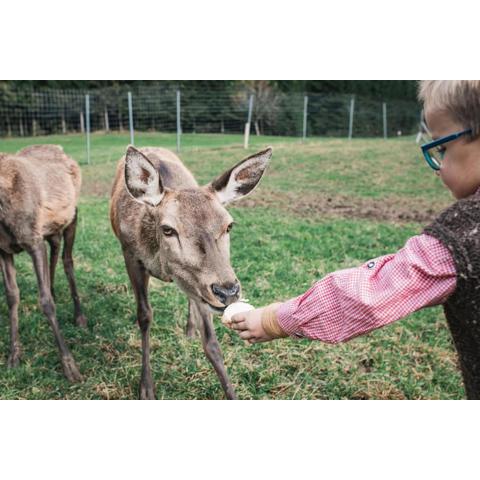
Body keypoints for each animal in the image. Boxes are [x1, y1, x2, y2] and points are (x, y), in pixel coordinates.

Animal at [0, 145, 85, 382]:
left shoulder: (33, 240)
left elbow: (45, 301)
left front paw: (70, 366)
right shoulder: (3, 249)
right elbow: (12, 296)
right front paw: (13, 356)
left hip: (72, 215)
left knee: (67, 260)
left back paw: (79, 315)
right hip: (51, 227)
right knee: (55, 250)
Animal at [110, 144, 272, 400]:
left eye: (229, 225)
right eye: (168, 229)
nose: (228, 291)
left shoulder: (200, 287)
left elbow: (212, 343)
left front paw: (232, 393)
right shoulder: (130, 254)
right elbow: (144, 316)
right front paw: (146, 387)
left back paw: (189, 329)